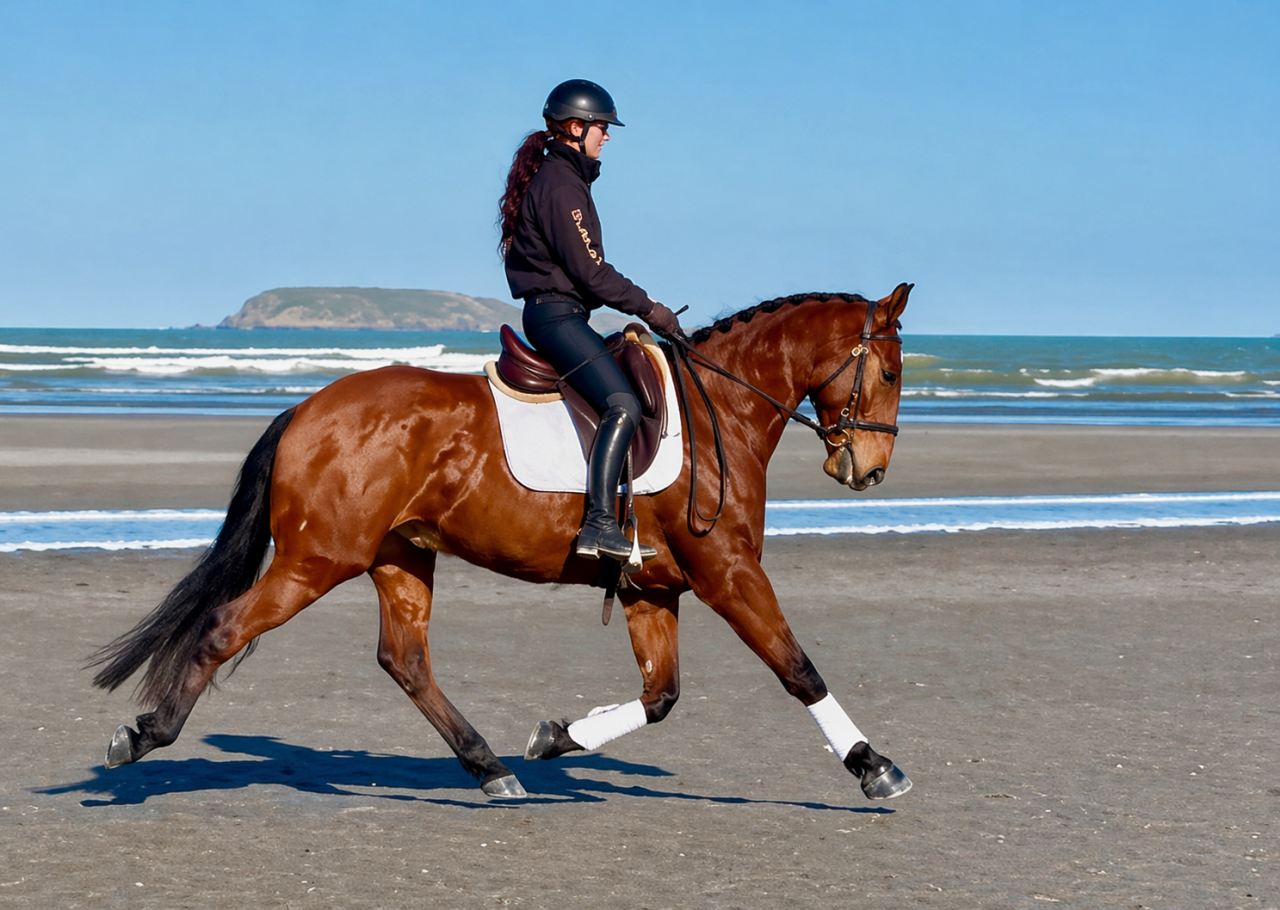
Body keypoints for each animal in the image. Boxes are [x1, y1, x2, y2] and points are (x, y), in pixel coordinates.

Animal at [90, 283, 913, 801]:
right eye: (891, 370)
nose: (868, 469)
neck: (725, 409)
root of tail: (307, 407)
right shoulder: (729, 572)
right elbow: (797, 669)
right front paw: (873, 765)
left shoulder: (653, 589)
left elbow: (662, 696)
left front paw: (557, 736)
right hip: (317, 559)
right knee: (226, 627)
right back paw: (144, 734)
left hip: (400, 556)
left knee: (406, 660)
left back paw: (490, 766)